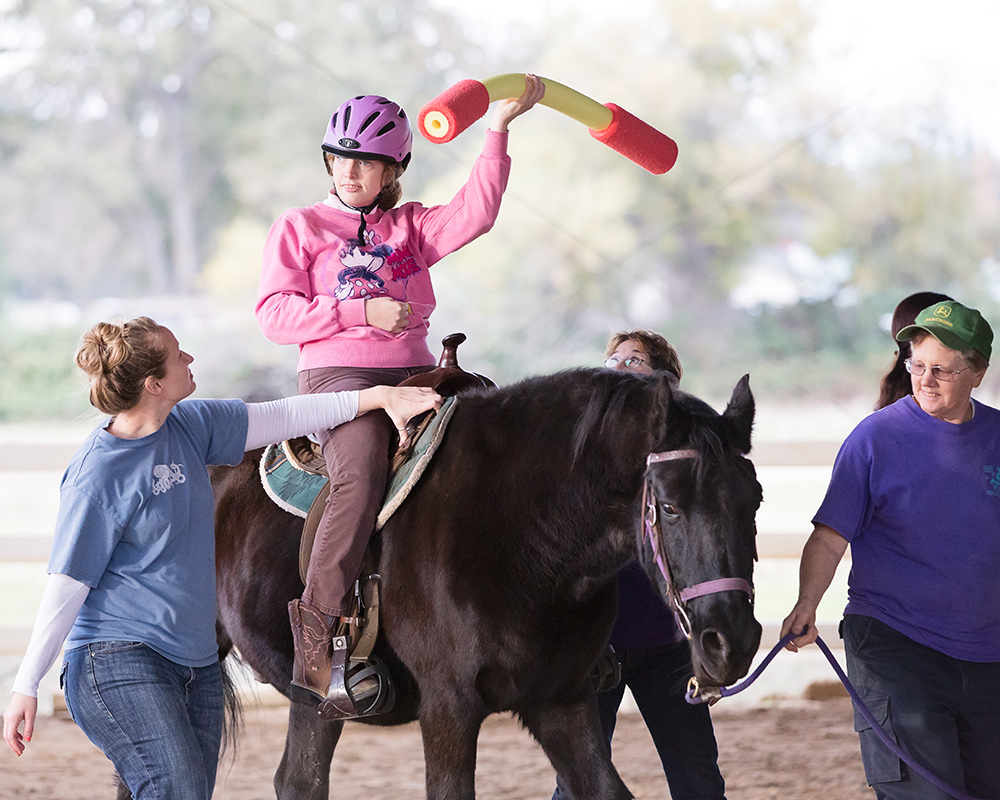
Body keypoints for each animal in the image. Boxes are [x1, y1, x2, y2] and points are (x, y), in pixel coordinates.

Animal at [209, 368, 756, 800]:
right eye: (670, 506)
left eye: (755, 499)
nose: (732, 642)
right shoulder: (448, 709)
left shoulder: (563, 699)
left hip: (313, 700)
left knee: (299, 780)